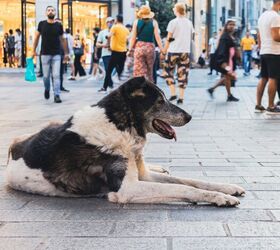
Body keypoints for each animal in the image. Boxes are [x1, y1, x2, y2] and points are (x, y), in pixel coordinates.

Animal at [4, 77, 245, 206]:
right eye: (160, 101)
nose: (189, 117)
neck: (120, 126)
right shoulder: (127, 189)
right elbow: (184, 188)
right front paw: (220, 198)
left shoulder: (143, 176)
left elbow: (189, 181)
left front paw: (227, 188)